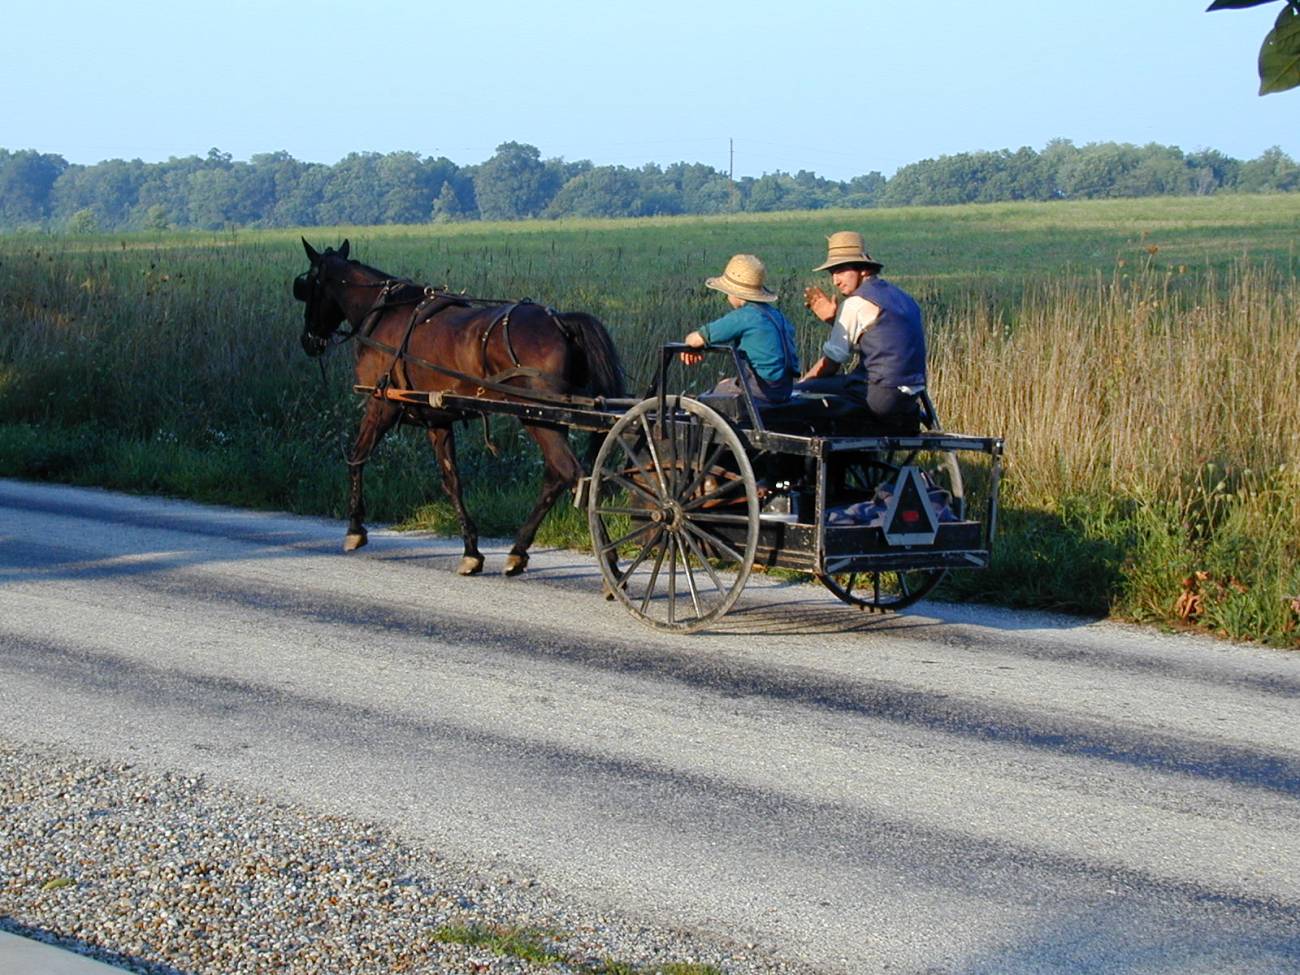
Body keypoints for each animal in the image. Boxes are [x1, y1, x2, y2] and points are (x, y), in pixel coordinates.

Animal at [295, 239, 624, 577]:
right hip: (547, 418)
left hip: (538, 416)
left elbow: (357, 457)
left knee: (572, 473)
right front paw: (471, 551)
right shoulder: (436, 418)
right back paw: (518, 551)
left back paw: (609, 559)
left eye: (307, 285)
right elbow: (451, 480)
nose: (308, 340)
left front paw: (355, 529)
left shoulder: (380, 405)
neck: (383, 312)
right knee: (557, 475)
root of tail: (560, 322)